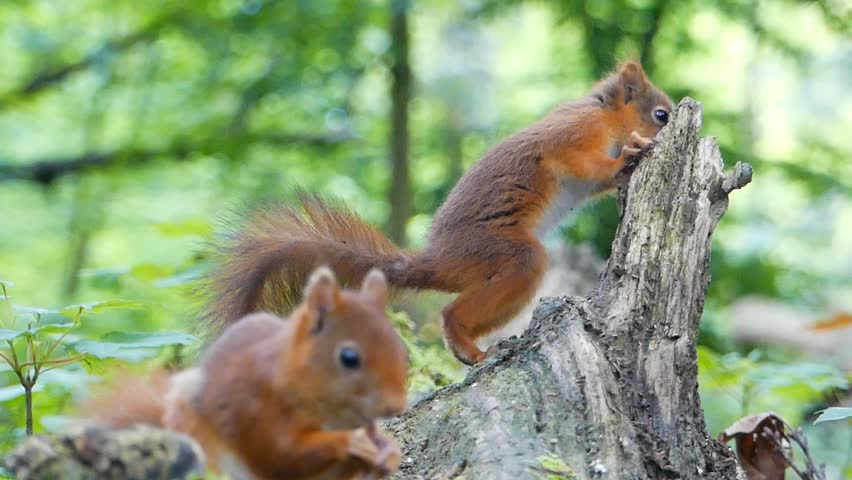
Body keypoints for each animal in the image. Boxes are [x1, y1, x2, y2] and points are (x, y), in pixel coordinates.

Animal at [83, 267, 409, 480]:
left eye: (401, 348)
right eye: (349, 357)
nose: (395, 406)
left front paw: (389, 452)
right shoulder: (258, 408)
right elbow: (283, 454)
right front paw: (351, 442)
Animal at [205, 60, 673, 365]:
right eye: (661, 114)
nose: (666, 121)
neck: (603, 115)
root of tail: (440, 261)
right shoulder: (571, 138)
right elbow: (583, 165)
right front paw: (629, 153)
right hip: (504, 253)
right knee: (455, 311)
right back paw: (468, 345)